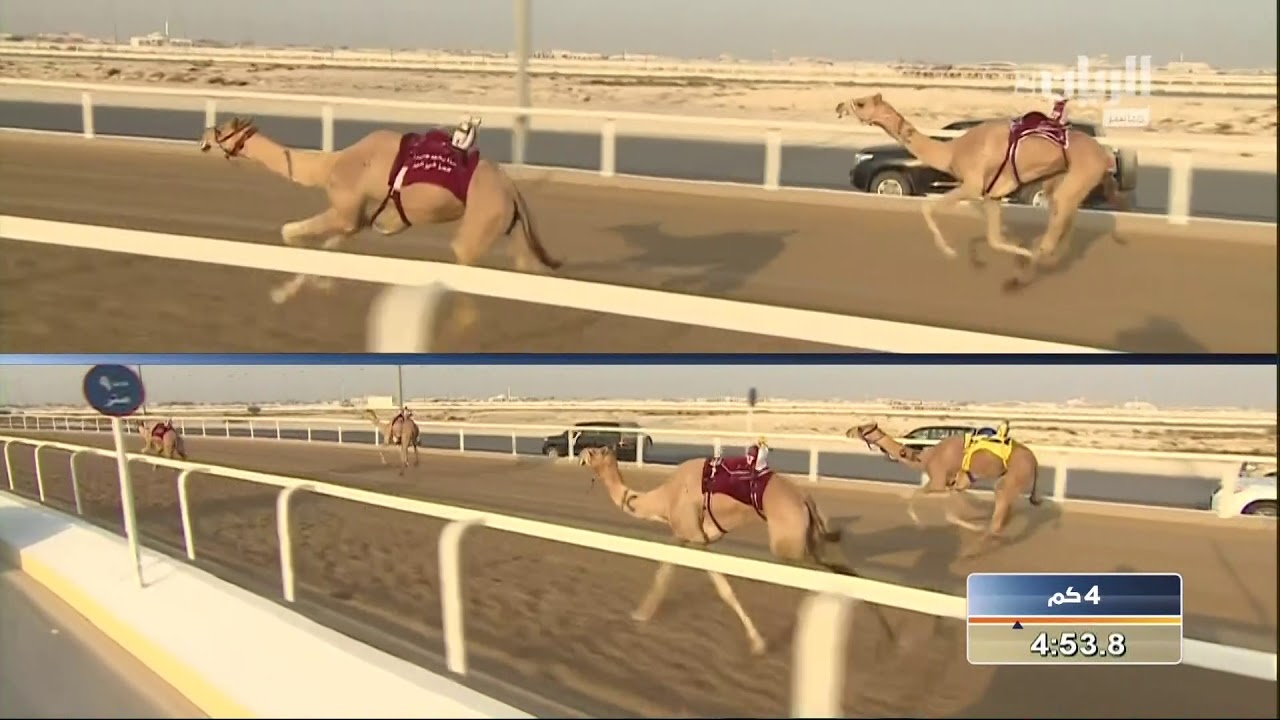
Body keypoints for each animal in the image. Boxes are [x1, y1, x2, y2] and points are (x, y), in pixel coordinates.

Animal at [197, 116, 563, 310]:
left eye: (224, 130)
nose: (204, 136)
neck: (331, 165)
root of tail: (511, 189)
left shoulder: (346, 205)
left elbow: (290, 231)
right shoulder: (359, 219)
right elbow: (332, 245)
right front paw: (290, 291)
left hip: (480, 222)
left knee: (464, 256)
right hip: (510, 227)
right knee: (527, 266)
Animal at [578, 444, 868, 655]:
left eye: (595, 451)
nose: (581, 454)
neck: (664, 499)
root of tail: (805, 499)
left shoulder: (697, 539)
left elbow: (724, 589)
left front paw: (758, 643)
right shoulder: (684, 537)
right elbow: (663, 575)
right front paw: (641, 614)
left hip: (788, 545)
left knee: (831, 573)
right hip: (807, 538)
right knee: (843, 566)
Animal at [835, 93, 1128, 288]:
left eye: (861, 103)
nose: (839, 106)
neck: (951, 151)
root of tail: (1105, 155)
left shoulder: (972, 184)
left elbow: (928, 207)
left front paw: (950, 252)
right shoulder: (991, 196)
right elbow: (994, 238)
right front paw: (1004, 256)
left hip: (1080, 175)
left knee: (1059, 218)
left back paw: (1024, 274)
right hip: (1061, 179)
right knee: (1063, 216)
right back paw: (1046, 262)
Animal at [847, 421, 1042, 554]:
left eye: (861, 428)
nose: (848, 431)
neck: (925, 458)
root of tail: (1035, 461)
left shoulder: (939, 482)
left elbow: (919, 497)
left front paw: (920, 524)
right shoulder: (957, 484)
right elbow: (952, 511)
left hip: (1013, 477)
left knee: (999, 512)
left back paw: (970, 552)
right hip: (1013, 481)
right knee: (1004, 514)